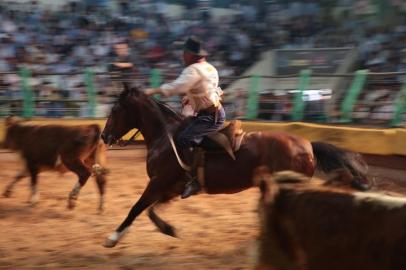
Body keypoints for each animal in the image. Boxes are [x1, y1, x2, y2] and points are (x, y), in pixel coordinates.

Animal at [100, 83, 370, 248]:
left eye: (116, 108)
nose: (104, 136)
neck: (166, 137)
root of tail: (308, 145)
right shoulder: (170, 188)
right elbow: (151, 210)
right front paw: (169, 229)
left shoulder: (157, 183)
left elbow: (136, 208)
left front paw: (112, 238)